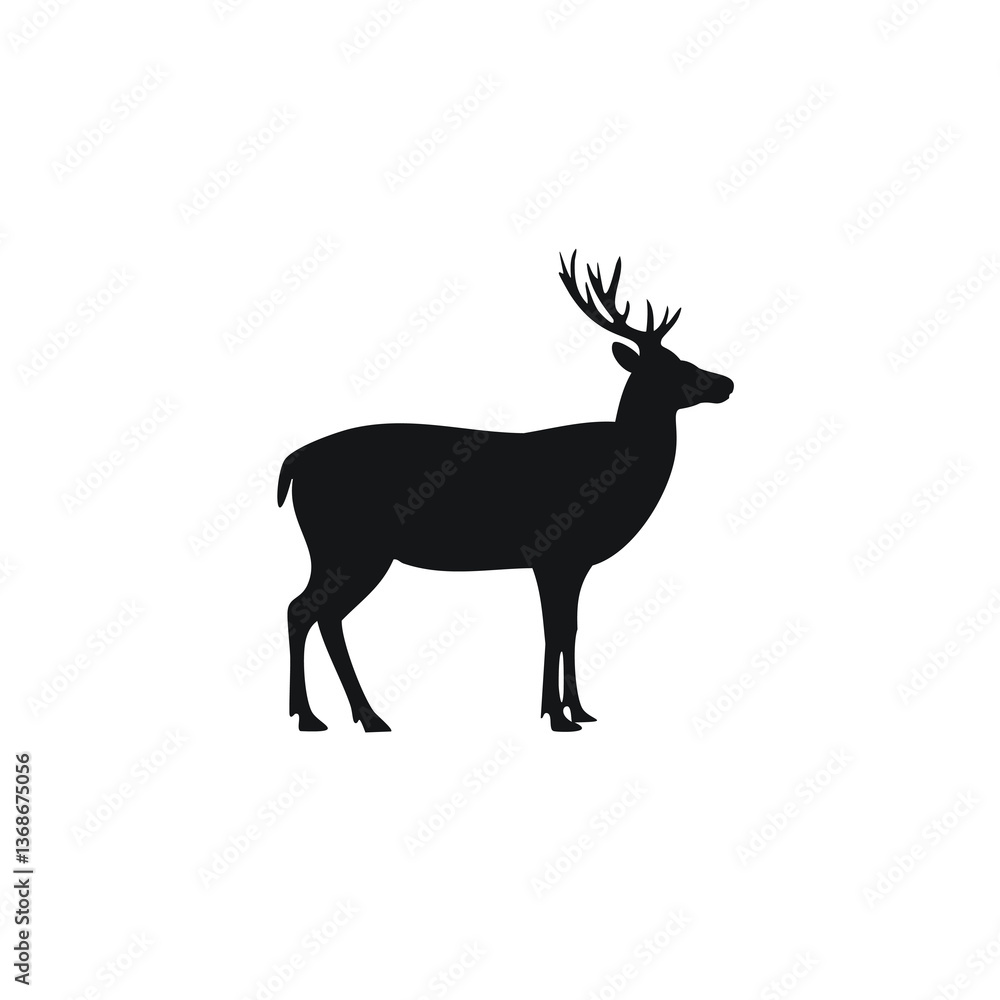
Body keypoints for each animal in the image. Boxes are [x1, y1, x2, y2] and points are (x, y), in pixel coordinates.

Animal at [277, 251, 733, 732]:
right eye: (673, 367)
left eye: (682, 358)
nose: (726, 383)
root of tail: (292, 464)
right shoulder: (553, 553)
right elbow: (555, 629)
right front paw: (556, 716)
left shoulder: (575, 562)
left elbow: (570, 628)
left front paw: (578, 710)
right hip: (349, 545)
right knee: (304, 609)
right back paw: (324, 716)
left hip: (339, 550)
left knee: (317, 613)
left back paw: (350, 715)